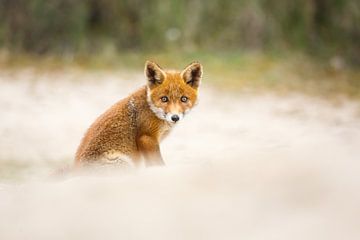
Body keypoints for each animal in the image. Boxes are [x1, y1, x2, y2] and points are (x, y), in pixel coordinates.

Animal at [74, 61, 202, 168]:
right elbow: (158, 165)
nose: (175, 117)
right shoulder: (147, 138)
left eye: (184, 99)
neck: (151, 109)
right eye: (164, 99)